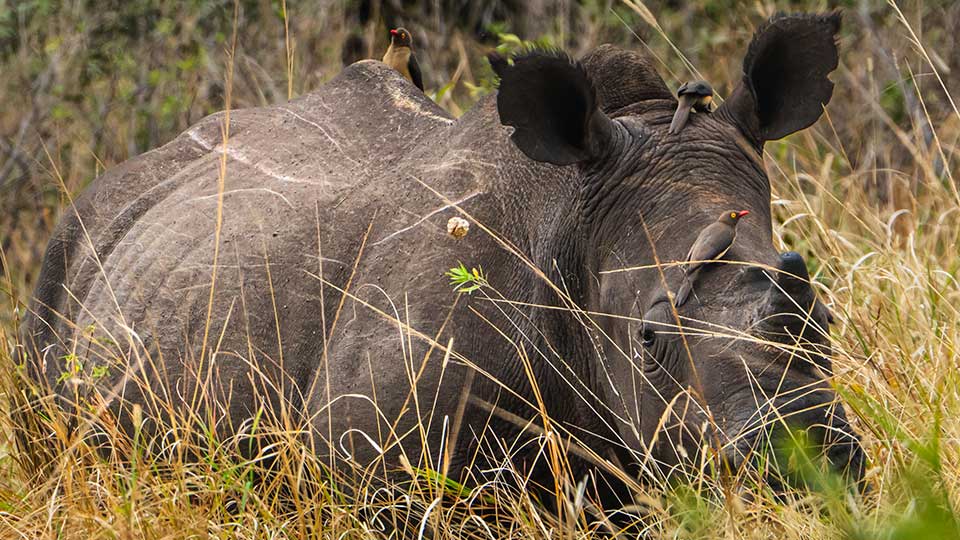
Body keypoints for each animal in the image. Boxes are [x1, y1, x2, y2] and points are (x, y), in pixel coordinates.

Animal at [21, 11, 863, 503]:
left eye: (823, 317)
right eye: (647, 342)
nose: (804, 451)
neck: (568, 220)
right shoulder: (373, 471)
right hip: (64, 250)